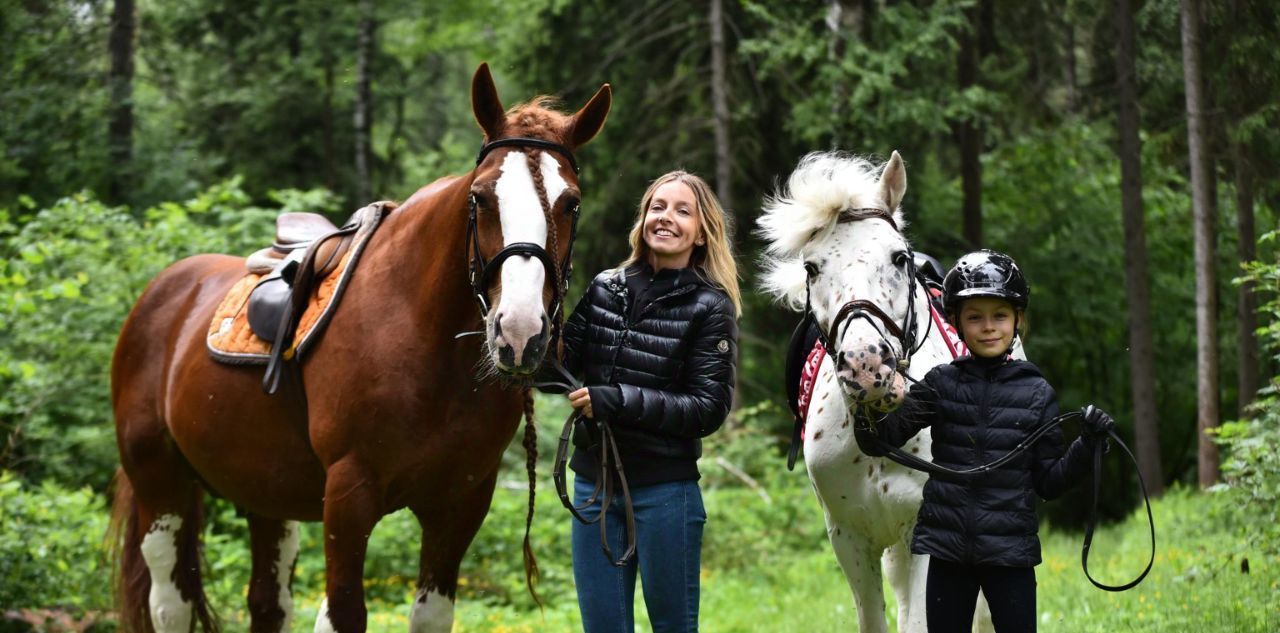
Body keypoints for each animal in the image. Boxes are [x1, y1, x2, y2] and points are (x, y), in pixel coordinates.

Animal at [108, 65, 609, 633]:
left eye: (572, 203)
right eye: (479, 197)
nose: (520, 332)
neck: (427, 345)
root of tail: (162, 292)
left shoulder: (459, 503)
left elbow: (431, 615)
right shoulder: (349, 496)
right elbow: (345, 612)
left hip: (265, 494)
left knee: (267, 601)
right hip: (158, 481)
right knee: (170, 601)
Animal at [757, 152, 1008, 633]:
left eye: (897, 258)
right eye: (811, 267)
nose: (866, 366)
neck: (880, 433)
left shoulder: (926, 539)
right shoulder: (849, 539)